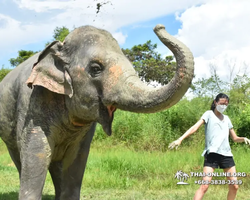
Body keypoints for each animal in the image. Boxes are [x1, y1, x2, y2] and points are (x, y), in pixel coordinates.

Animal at [0, 24, 193, 199]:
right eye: (95, 69)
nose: (159, 26)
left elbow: (76, 160)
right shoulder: (32, 104)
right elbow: (37, 154)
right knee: (20, 160)